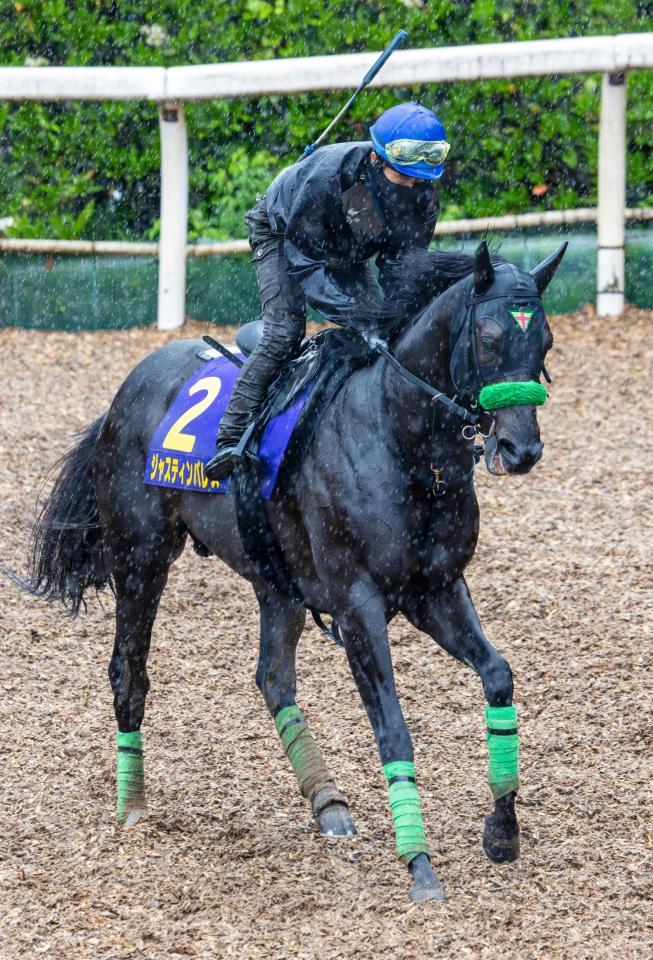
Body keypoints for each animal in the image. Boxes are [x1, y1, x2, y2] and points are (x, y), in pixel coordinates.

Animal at [24, 240, 564, 900]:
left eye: (545, 341)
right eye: (488, 338)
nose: (521, 449)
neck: (397, 437)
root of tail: (122, 395)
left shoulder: (435, 591)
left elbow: (498, 677)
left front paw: (503, 830)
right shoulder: (358, 606)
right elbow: (393, 728)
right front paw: (419, 865)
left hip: (275, 582)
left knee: (273, 677)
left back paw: (326, 800)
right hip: (141, 556)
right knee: (129, 671)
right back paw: (132, 807)